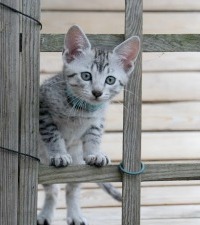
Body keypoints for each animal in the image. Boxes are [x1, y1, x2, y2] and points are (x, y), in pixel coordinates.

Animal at [37, 25, 140, 225]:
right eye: (86, 76)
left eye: (110, 80)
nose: (97, 92)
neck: (81, 109)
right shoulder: (43, 109)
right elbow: (53, 135)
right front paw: (59, 153)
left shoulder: (97, 121)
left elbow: (94, 137)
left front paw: (95, 153)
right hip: (42, 162)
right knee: (52, 189)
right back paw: (46, 214)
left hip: (78, 162)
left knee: (72, 188)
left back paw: (75, 214)